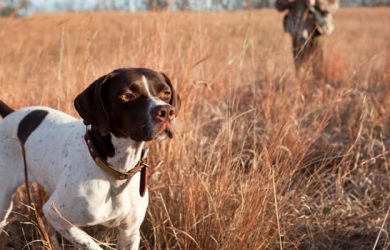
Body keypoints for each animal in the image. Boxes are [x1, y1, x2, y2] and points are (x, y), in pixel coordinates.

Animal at [0, 67, 181, 249]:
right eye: (127, 95)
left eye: (166, 93)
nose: (167, 111)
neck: (116, 171)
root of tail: (11, 114)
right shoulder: (55, 212)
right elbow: (91, 244)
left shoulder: (130, 233)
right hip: (4, 202)